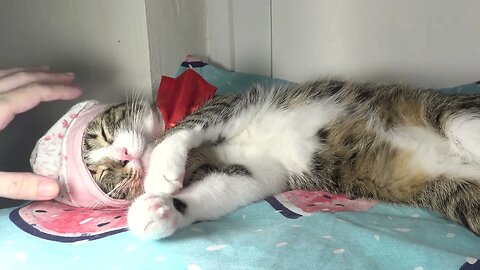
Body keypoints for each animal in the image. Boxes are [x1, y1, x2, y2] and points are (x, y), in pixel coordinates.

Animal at [81, 79, 480, 239]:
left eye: (103, 132)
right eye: (102, 173)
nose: (123, 156)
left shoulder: (229, 104)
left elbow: (182, 130)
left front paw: (161, 171)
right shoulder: (258, 172)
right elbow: (220, 191)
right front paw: (157, 211)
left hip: (451, 114)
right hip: (461, 194)